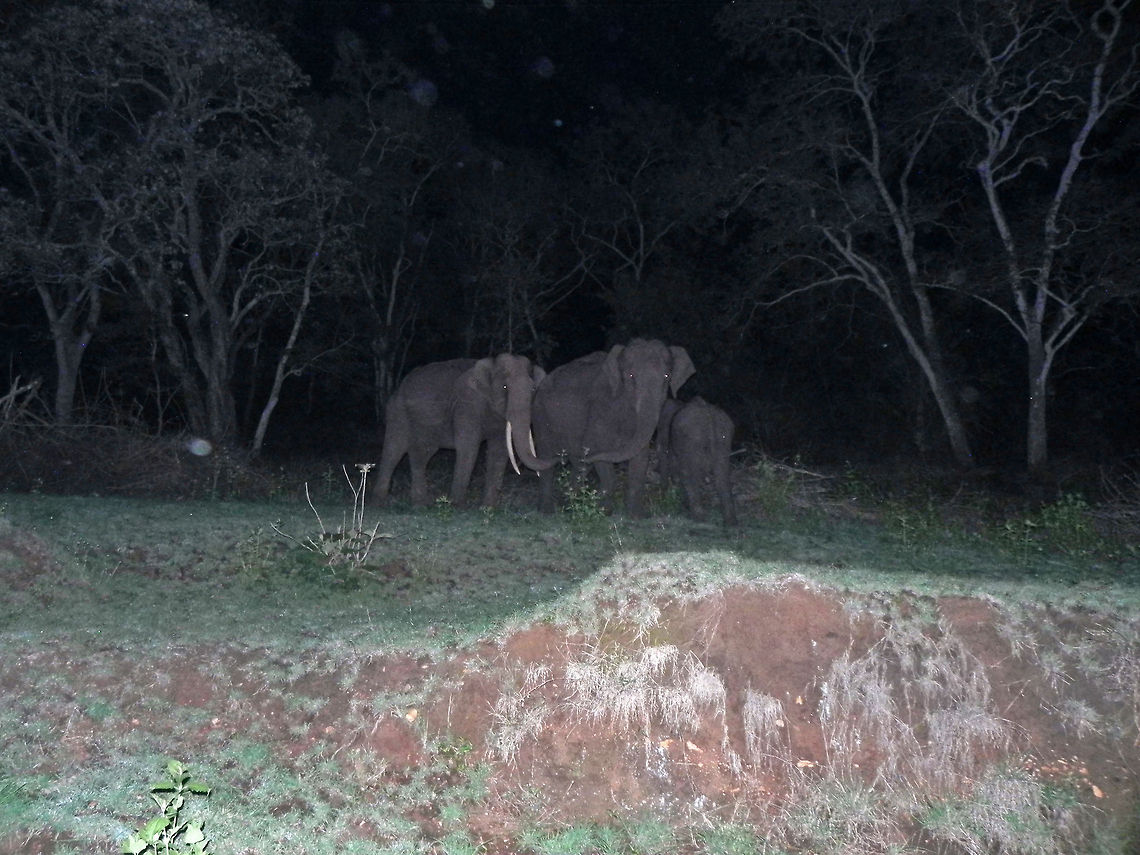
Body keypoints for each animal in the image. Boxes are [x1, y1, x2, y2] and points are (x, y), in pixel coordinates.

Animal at [372, 354, 554, 508]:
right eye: (504, 387)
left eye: (533, 390)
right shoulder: (467, 405)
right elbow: (468, 448)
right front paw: (456, 505)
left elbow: (498, 452)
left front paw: (487, 508)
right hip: (398, 413)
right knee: (394, 450)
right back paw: (380, 502)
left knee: (421, 453)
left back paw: (421, 504)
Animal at [532, 338, 695, 517]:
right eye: (630, 375)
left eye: (667, 376)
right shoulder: (599, 411)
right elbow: (599, 453)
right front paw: (605, 512)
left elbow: (640, 460)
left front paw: (635, 516)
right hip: (541, 416)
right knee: (547, 460)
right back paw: (547, 510)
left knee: (579, 465)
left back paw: (569, 506)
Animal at [656, 396, 738, 526]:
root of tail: (709, 416)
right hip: (724, 439)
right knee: (723, 476)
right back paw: (731, 522)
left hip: (693, 440)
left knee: (690, 473)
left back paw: (698, 517)